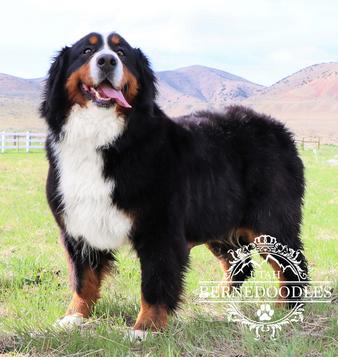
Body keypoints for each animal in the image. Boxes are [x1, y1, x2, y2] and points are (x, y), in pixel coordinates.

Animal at [40, 30, 308, 330]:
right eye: (87, 51)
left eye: (122, 54)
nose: (107, 60)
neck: (103, 139)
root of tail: (278, 128)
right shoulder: (77, 226)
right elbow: (82, 278)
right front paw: (73, 317)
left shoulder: (160, 228)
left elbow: (154, 283)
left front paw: (146, 328)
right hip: (216, 217)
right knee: (238, 264)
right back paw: (220, 296)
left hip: (269, 221)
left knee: (292, 265)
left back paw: (286, 306)